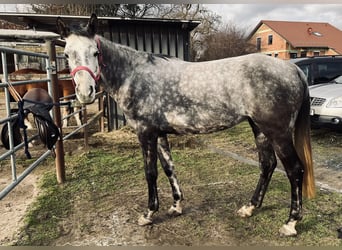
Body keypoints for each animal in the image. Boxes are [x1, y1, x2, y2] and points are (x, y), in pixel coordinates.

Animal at [56, 13, 316, 236]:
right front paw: (176, 206)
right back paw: (249, 208)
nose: (85, 93)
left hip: (278, 133)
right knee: (267, 164)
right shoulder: (159, 134)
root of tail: (292, 68)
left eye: (95, 52)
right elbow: (168, 167)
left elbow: (150, 173)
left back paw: (290, 223)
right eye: (67, 54)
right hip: (259, 128)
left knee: (295, 170)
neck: (134, 76)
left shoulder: (145, 133)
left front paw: (148, 214)